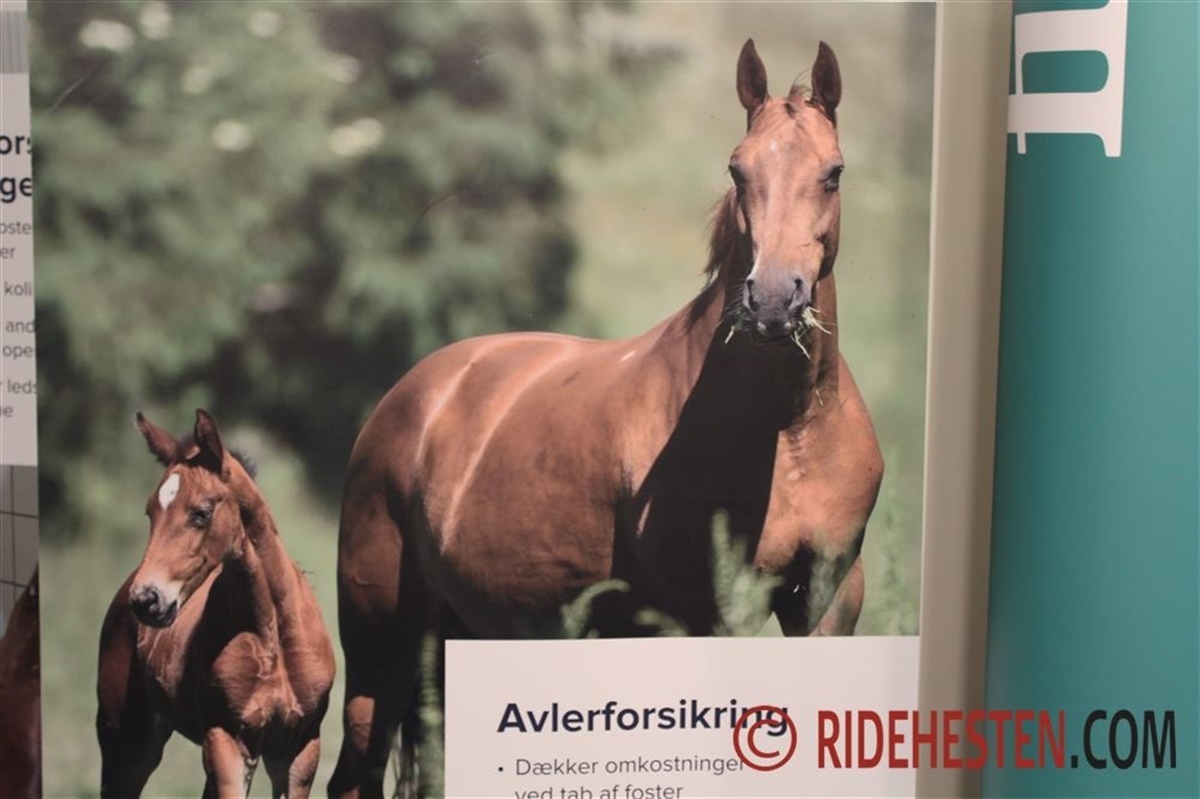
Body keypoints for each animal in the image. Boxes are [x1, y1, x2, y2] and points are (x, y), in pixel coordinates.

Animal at [96, 409, 336, 798]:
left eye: (201, 512)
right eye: (150, 512)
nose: (147, 600)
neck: (273, 634)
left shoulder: (299, 747)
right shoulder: (227, 740)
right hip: (126, 741)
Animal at [328, 39, 883, 798]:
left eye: (833, 172)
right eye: (737, 169)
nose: (773, 301)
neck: (787, 431)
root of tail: (410, 394)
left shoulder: (825, 601)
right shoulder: (702, 618)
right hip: (377, 643)